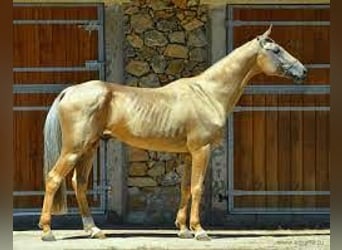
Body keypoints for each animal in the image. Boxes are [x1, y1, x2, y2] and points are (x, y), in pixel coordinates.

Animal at [38, 25, 306, 240]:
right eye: (276, 50)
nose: (303, 71)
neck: (208, 94)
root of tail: (70, 90)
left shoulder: (188, 154)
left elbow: (185, 188)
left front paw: (183, 229)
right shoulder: (202, 150)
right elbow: (197, 188)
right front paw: (199, 231)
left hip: (90, 148)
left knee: (79, 183)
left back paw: (94, 230)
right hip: (75, 149)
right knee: (53, 178)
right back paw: (48, 231)